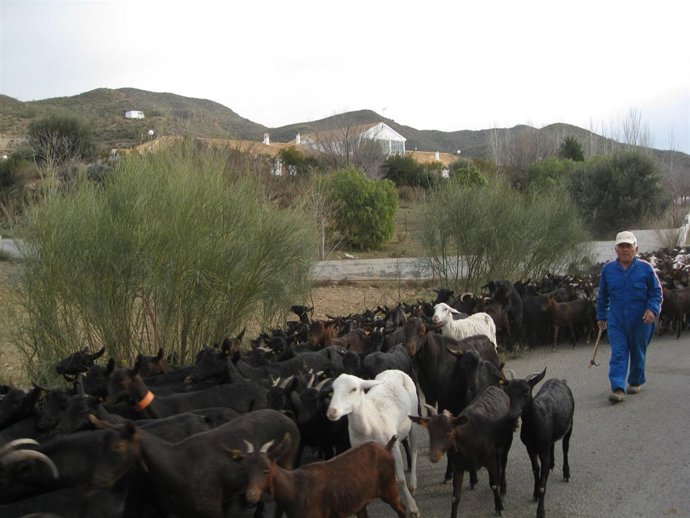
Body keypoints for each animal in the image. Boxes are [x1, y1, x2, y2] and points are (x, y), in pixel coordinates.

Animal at [231, 434, 406, 518]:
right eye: (243, 470)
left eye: (266, 469)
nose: (251, 495)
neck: (295, 489)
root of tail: (386, 447)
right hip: (360, 502)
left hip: (389, 487)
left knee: (402, 509)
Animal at [327, 370, 420, 518]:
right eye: (333, 389)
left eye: (354, 389)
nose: (332, 412)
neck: (368, 423)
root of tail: (394, 370)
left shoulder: (394, 447)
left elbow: (401, 479)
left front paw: (413, 507)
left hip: (414, 418)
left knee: (414, 450)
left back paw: (413, 484)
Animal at [503, 369, 574, 518]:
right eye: (508, 391)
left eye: (526, 391)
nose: (513, 413)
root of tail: (560, 380)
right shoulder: (530, 447)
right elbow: (536, 469)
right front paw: (535, 494)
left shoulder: (542, 450)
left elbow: (543, 484)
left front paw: (540, 511)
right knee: (553, 444)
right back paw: (553, 464)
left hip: (570, 424)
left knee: (565, 447)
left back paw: (566, 472)